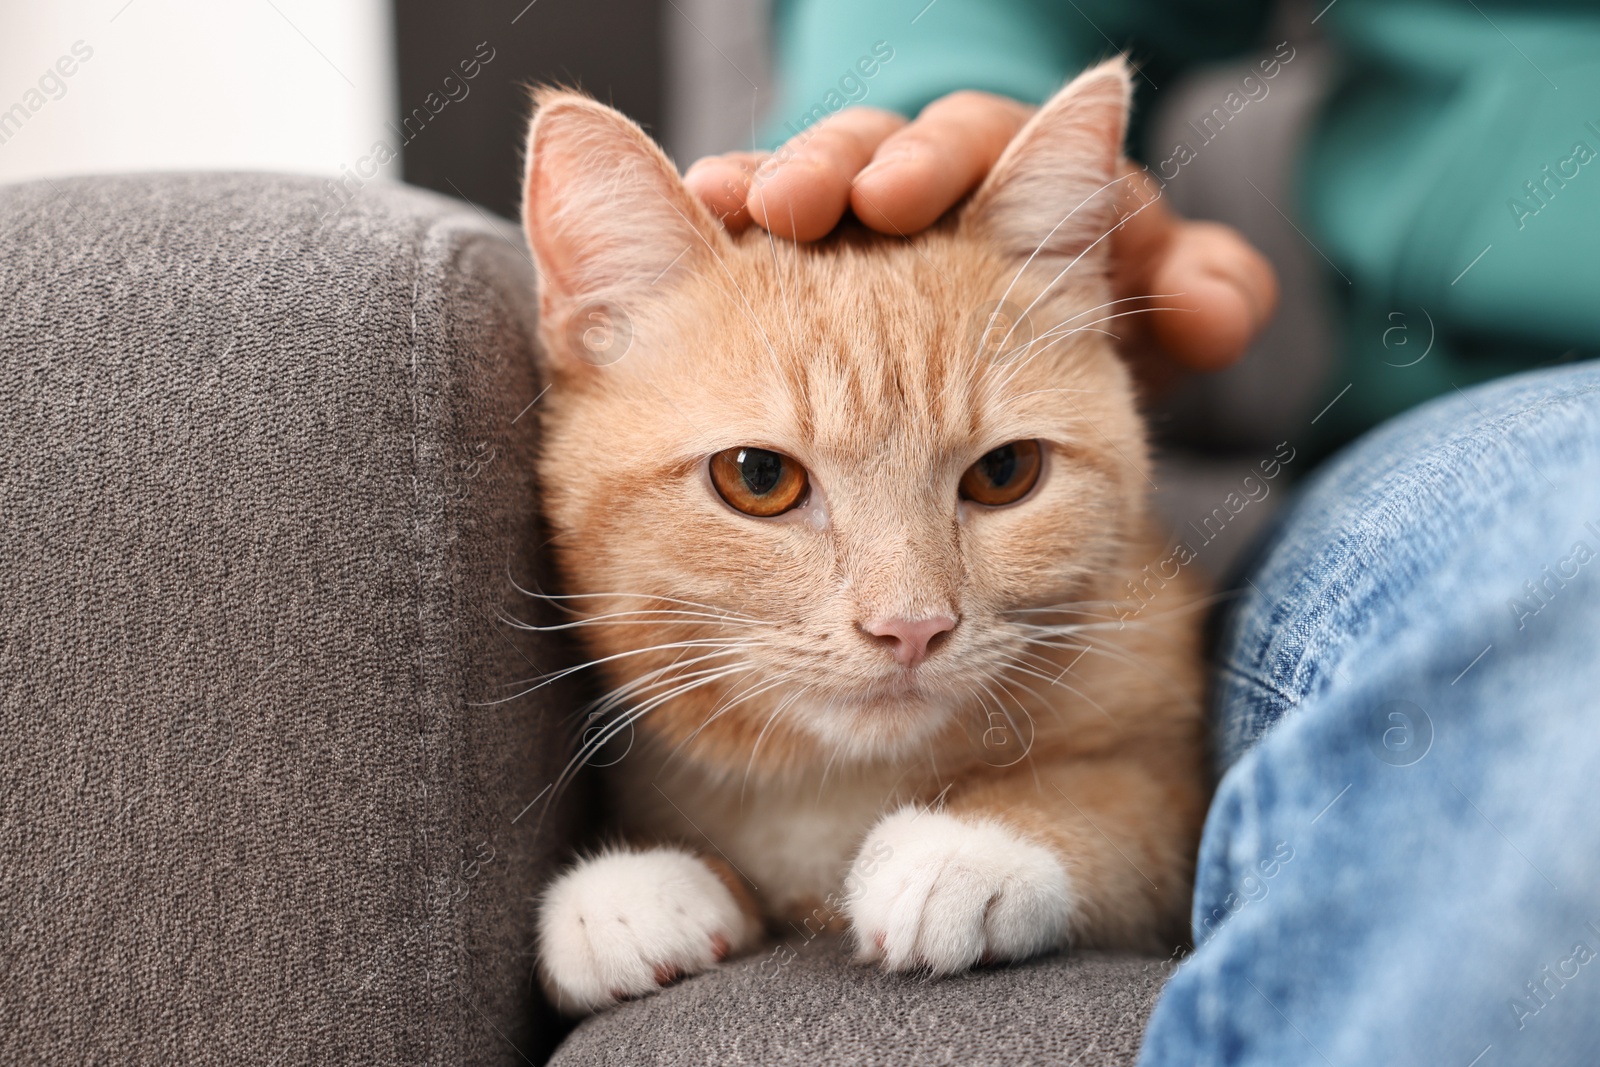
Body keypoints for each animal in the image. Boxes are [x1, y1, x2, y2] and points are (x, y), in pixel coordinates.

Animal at [518, 60, 1203, 1017]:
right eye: (757, 477)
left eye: (1006, 472)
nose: (911, 627)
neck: (836, 785)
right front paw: (631, 891)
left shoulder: (1175, 768)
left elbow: (1123, 801)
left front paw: (971, 844)